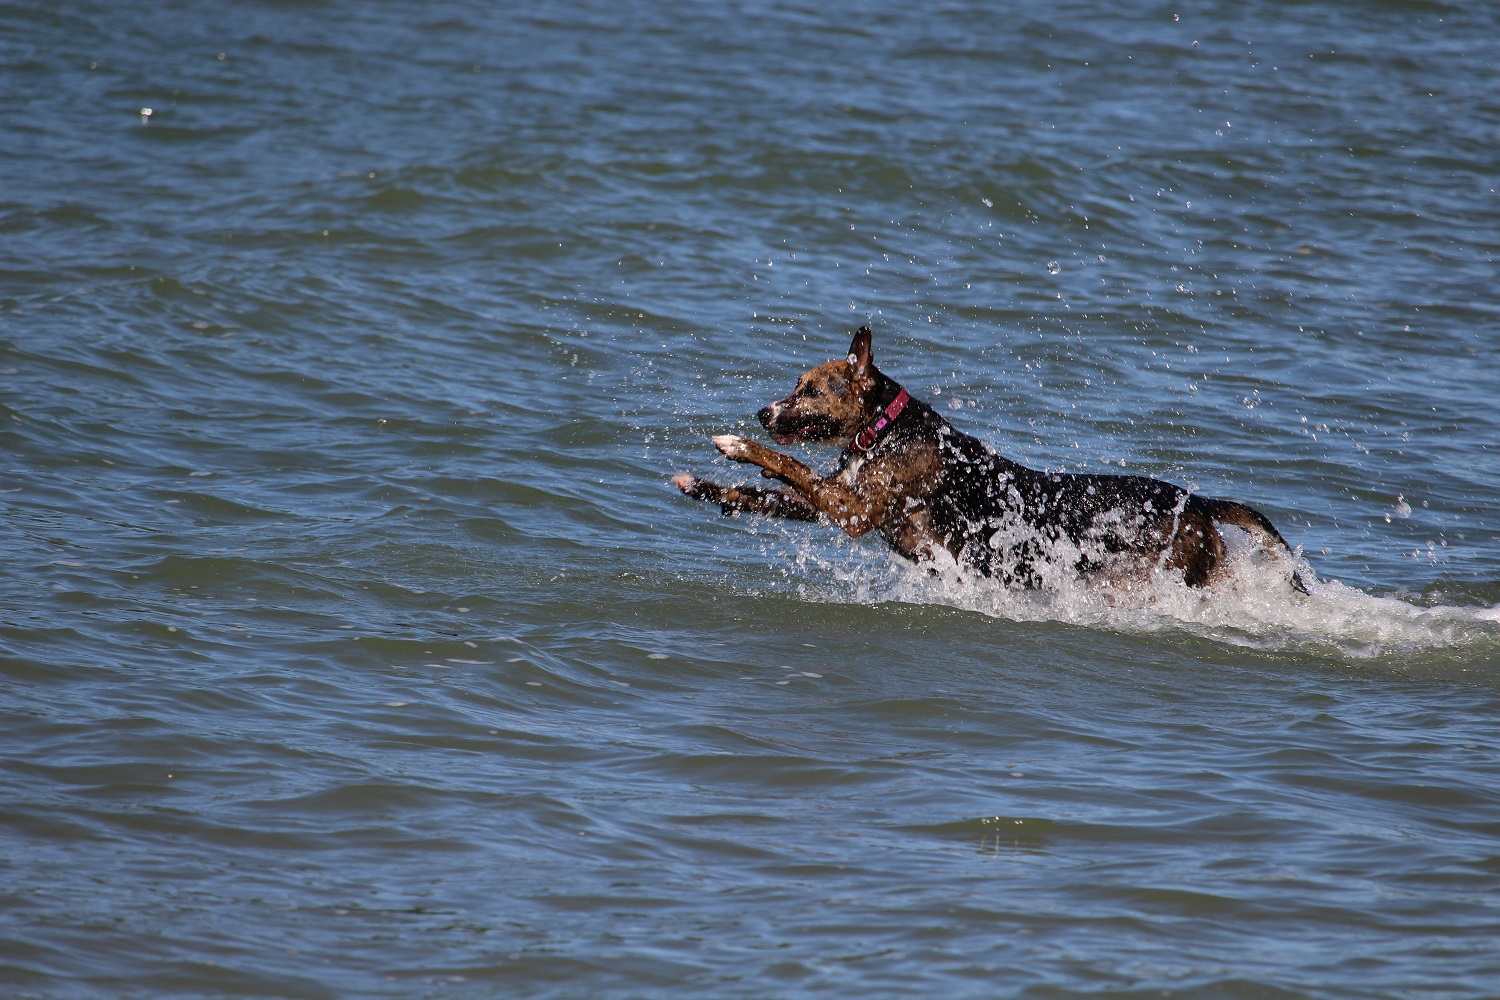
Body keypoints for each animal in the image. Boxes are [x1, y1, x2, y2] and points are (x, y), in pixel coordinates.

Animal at [675, 326, 1308, 593]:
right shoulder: (839, 505)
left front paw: (738, 447)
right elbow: (768, 496)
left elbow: (793, 470)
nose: (762, 413)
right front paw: (709, 488)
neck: (885, 431)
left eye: (807, 390)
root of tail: (1197, 501)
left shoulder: (852, 510)